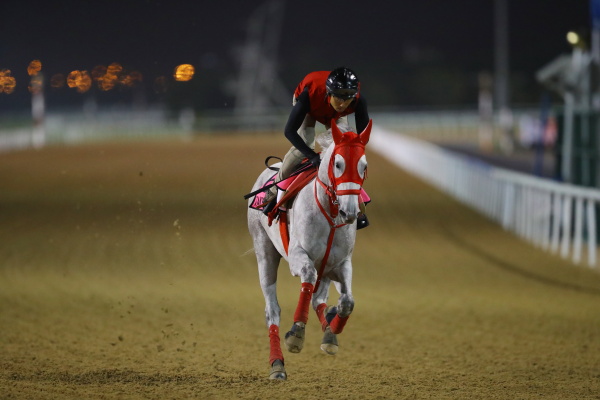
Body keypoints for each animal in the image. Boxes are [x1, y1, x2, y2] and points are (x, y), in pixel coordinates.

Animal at [247, 118, 370, 378]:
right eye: (338, 164)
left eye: (363, 165)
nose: (350, 211)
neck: (330, 213)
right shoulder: (298, 256)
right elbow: (307, 276)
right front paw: (296, 334)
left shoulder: (341, 263)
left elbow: (348, 301)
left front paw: (332, 329)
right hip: (264, 252)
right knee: (272, 310)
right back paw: (277, 364)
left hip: (326, 268)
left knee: (319, 300)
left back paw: (329, 329)